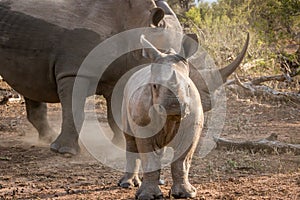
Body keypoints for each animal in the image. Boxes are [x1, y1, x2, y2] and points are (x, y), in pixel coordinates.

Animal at [0, 0, 248, 155]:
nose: (204, 104)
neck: (139, 23)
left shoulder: (123, 73)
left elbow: (116, 113)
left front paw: (120, 144)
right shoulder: (74, 71)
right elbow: (73, 109)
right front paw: (65, 152)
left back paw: (46, 138)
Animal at [119, 35, 204, 199]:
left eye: (188, 86)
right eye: (154, 86)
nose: (174, 106)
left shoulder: (192, 126)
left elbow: (182, 160)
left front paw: (186, 193)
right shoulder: (143, 124)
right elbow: (149, 157)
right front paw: (147, 195)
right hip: (125, 96)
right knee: (130, 139)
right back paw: (127, 184)